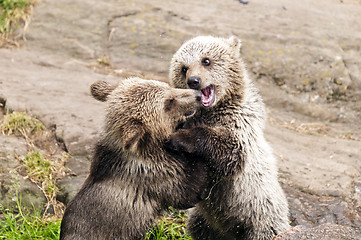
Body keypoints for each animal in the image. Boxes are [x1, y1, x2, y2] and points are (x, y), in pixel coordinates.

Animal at [167, 36, 290, 240]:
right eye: (184, 68)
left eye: (206, 60)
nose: (194, 80)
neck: (213, 111)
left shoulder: (241, 126)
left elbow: (230, 153)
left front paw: (179, 138)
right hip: (204, 220)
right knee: (199, 227)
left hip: (261, 218)